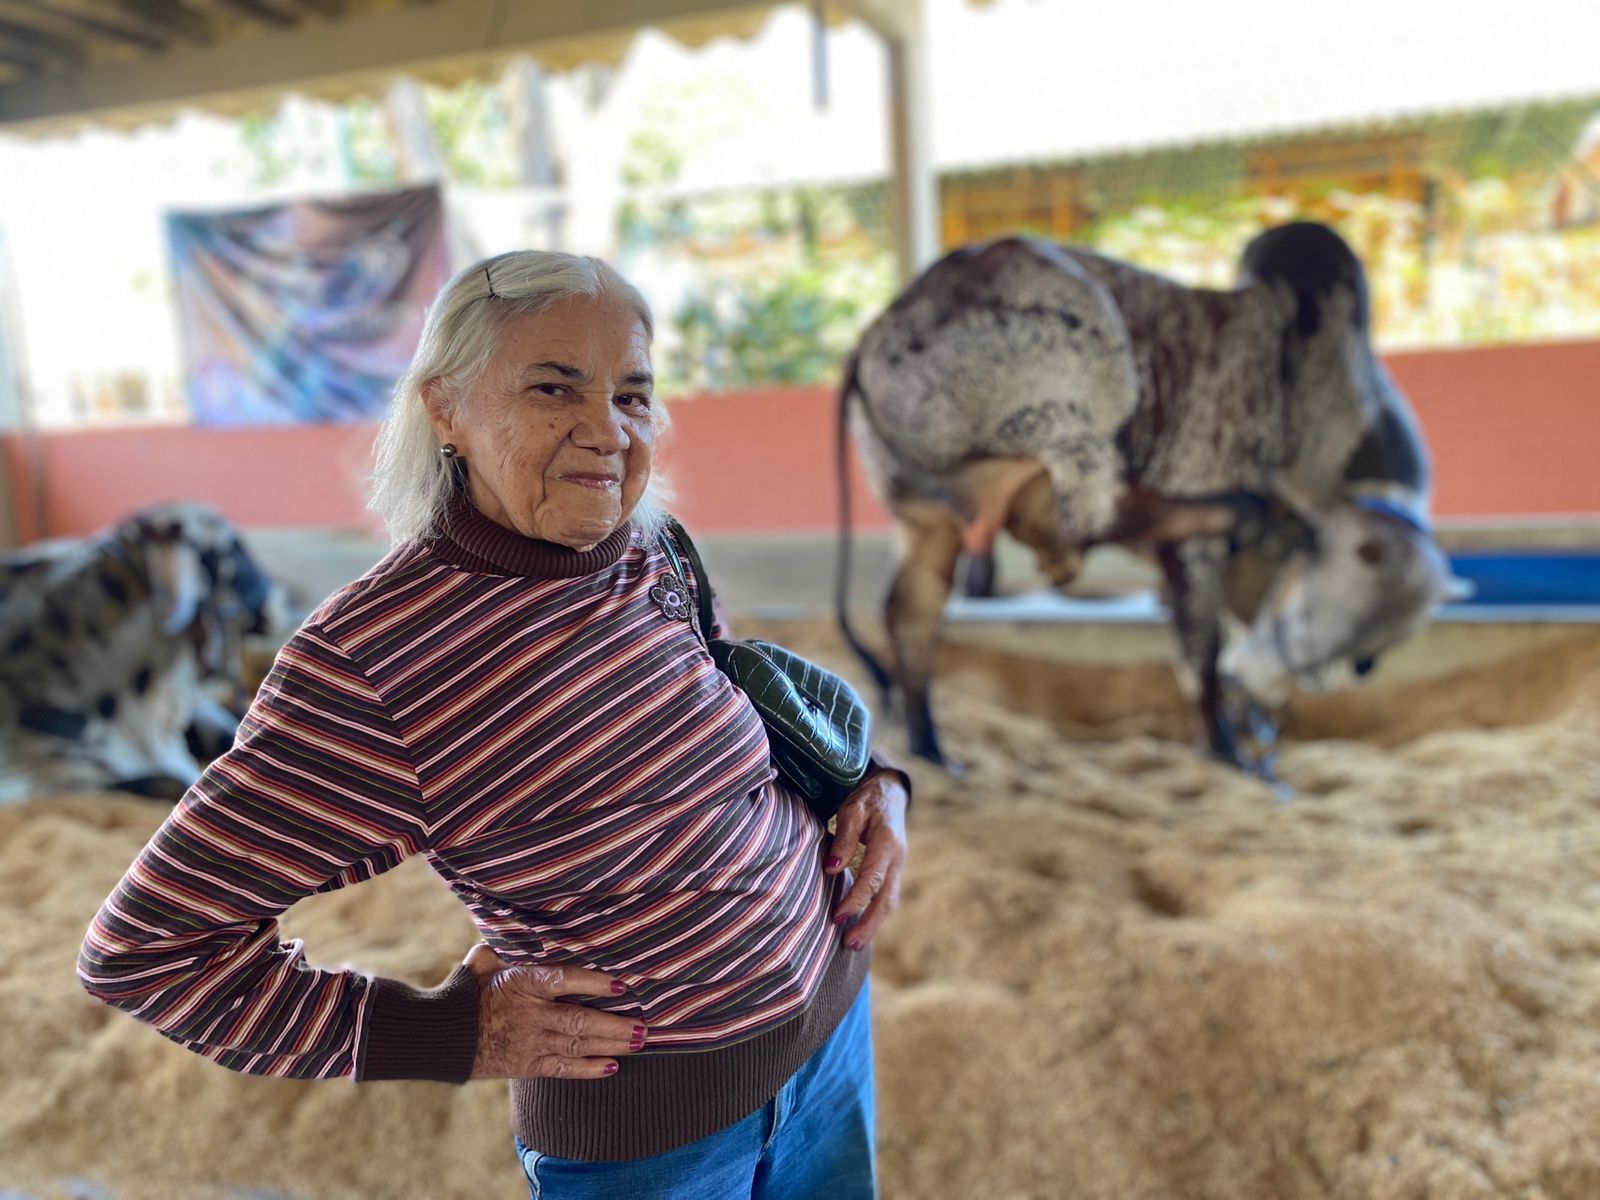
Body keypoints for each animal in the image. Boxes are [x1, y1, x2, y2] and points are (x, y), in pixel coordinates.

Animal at [838, 222, 1452, 774]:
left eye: (1358, 658)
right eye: (1305, 623)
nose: (1259, 679)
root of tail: (876, 332)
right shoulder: (1203, 541)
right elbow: (1200, 648)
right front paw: (1227, 749)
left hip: (927, 522)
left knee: (912, 612)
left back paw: (931, 747)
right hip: (1080, 391)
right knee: (1093, 514)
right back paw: (1233, 507)